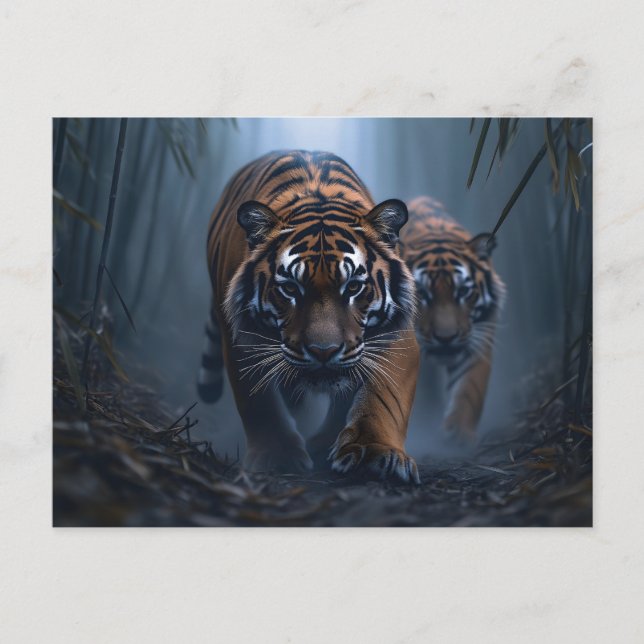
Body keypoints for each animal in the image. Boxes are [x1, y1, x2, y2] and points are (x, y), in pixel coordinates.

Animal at [198, 150, 421, 483]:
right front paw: (277, 457)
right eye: (290, 288)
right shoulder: (240, 338)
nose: (323, 351)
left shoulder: (397, 335)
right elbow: (258, 402)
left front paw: (373, 453)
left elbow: (384, 397)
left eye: (353, 286)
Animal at [399, 196, 506, 443]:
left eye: (463, 292)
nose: (446, 338)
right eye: (422, 295)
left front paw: (458, 434)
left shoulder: (478, 337)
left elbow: (469, 389)